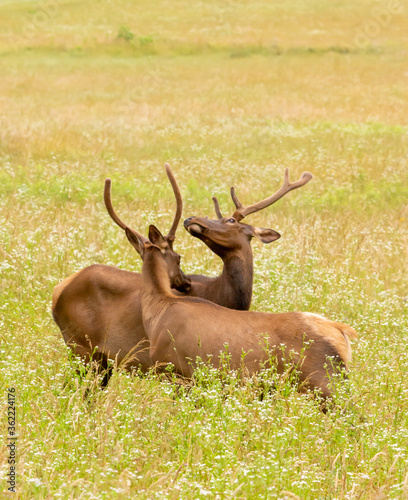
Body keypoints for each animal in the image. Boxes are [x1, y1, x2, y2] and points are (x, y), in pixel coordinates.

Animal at [128, 227, 356, 402]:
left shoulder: (175, 370)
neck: (158, 309)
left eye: (178, 256)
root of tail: (341, 332)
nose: (185, 282)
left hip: (324, 382)